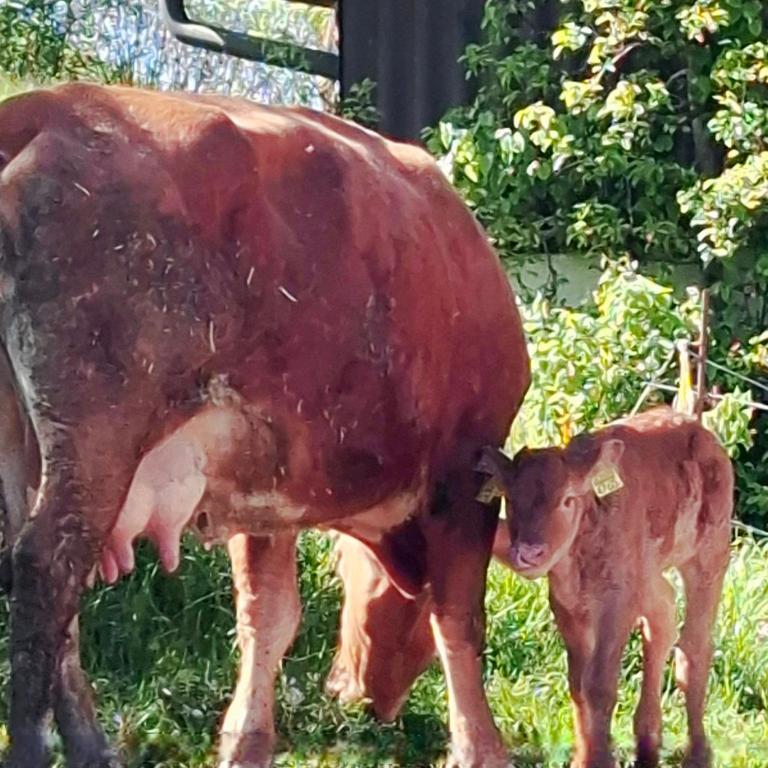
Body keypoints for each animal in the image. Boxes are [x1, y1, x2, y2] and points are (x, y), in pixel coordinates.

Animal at [0, 83, 530, 768]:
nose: (349, 693)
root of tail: (43, 107)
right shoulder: (466, 471)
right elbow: (458, 620)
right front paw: (479, 747)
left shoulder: (263, 489)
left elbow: (267, 615)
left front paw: (245, 739)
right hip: (96, 431)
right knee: (46, 569)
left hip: (24, 446)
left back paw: (93, 748)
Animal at [477, 406, 733, 768]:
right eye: (510, 500)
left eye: (568, 500)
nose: (529, 552)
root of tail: (697, 429)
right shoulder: (567, 603)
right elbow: (578, 683)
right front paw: (584, 756)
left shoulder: (618, 602)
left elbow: (599, 684)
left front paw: (598, 758)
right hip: (648, 572)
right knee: (662, 619)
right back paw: (648, 742)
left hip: (709, 553)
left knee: (694, 648)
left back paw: (697, 754)